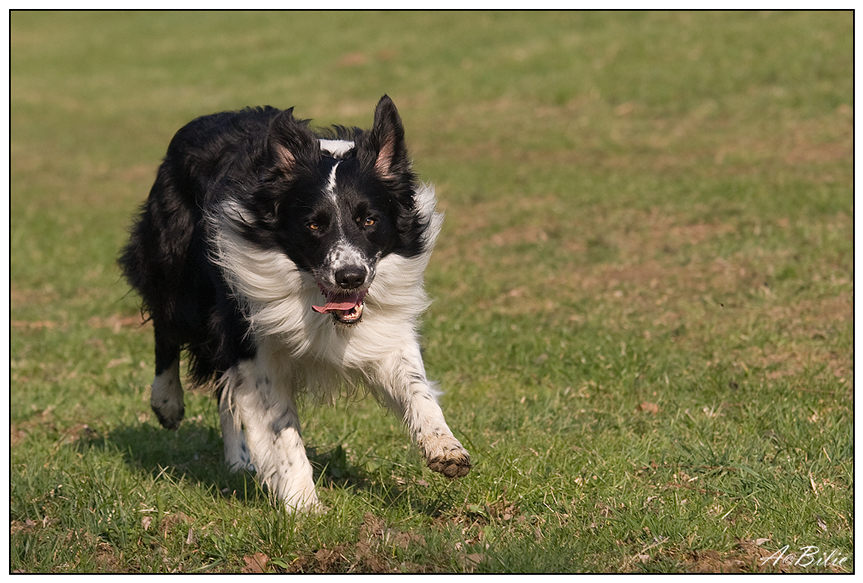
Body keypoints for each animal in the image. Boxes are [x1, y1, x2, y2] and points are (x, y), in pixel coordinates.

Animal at [120, 94, 472, 512]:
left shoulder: (382, 326)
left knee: (224, 388)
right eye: (314, 225)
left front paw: (444, 445)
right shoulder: (250, 338)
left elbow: (415, 384)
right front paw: (303, 504)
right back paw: (167, 402)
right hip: (178, 273)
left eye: (369, 220)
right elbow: (281, 429)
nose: (350, 277)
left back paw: (237, 460)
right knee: (167, 325)